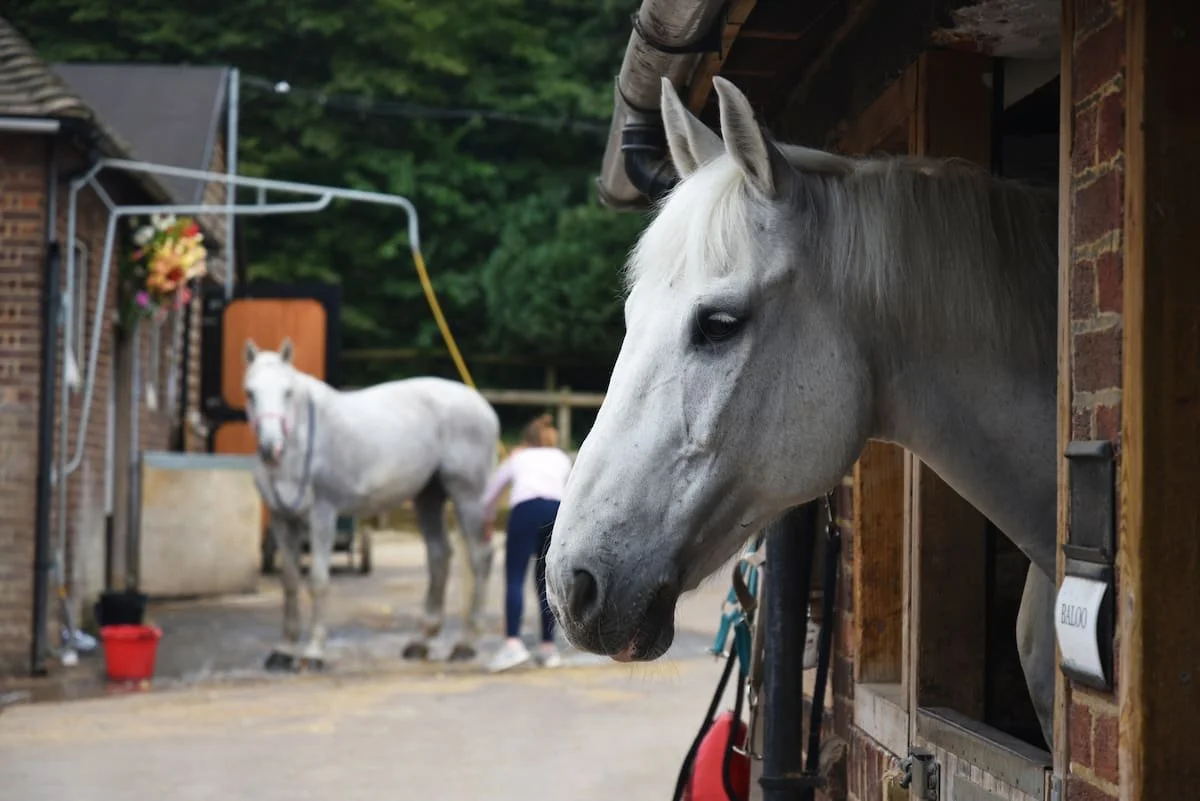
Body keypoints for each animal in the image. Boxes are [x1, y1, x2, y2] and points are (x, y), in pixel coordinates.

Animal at [242, 338, 500, 668]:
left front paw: (313, 651)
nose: (270, 448)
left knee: (480, 556)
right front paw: (284, 650)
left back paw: (466, 644)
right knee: (439, 556)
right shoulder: (282, 519)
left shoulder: (322, 514)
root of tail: (483, 406)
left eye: (287, 392)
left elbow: (318, 580)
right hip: (428, 496)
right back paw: (421, 640)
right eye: (250, 392)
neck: (299, 445)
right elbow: (289, 582)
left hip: (469, 496)